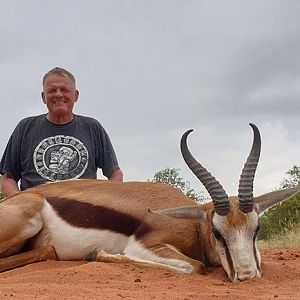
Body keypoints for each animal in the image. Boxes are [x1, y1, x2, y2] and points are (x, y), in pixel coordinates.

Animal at [0, 123, 298, 282]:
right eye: (217, 231)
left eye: (256, 228)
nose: (246, 275)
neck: (193, 225)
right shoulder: (144, 244)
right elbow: (194, 266)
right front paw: (97, 254)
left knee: (47, 250)